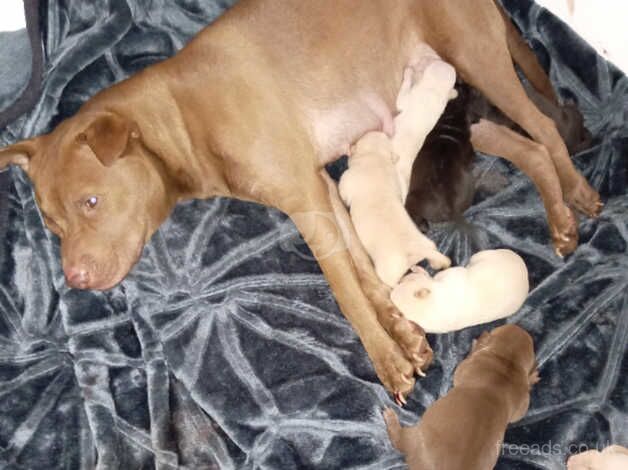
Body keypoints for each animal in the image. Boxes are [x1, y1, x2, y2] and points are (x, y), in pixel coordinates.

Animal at [382, 324, 540, 470]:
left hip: (414, 437)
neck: (507, 361)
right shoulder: (521, 399)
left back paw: (391, 417)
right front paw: (532, 376)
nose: (516, 325)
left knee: (398, 440)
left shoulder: (467, 365)